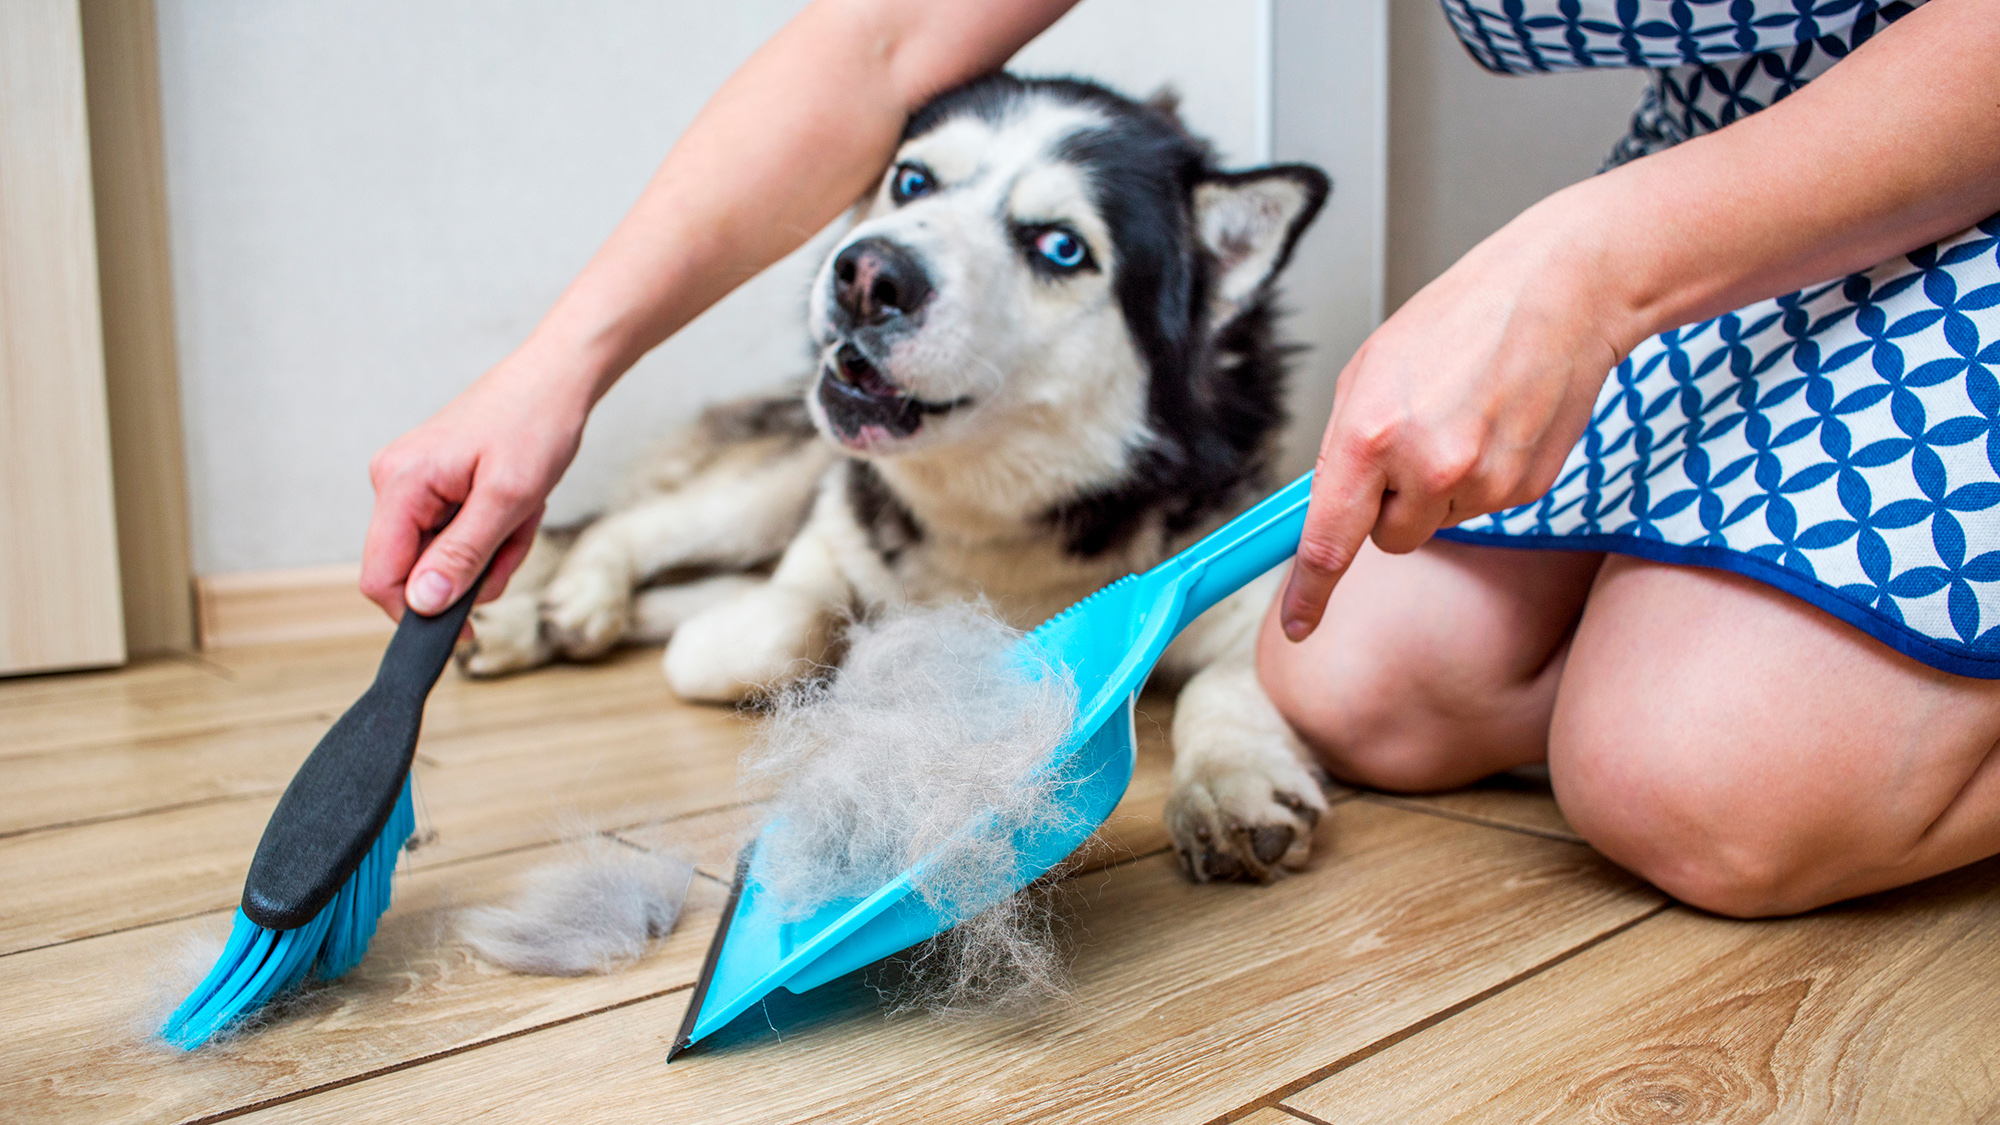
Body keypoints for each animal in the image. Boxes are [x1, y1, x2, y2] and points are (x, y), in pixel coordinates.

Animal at [462, 74, 1336, 884]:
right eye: (913, 180)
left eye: (1061, 247)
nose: (867, 274)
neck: (992, 523)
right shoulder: (827, 548)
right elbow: (787, 622)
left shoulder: (1242, 581)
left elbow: (1233, 680)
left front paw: (1230, 778)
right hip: (776, 487)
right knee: (629, 530)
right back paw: (572, 600)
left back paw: (527, 623)